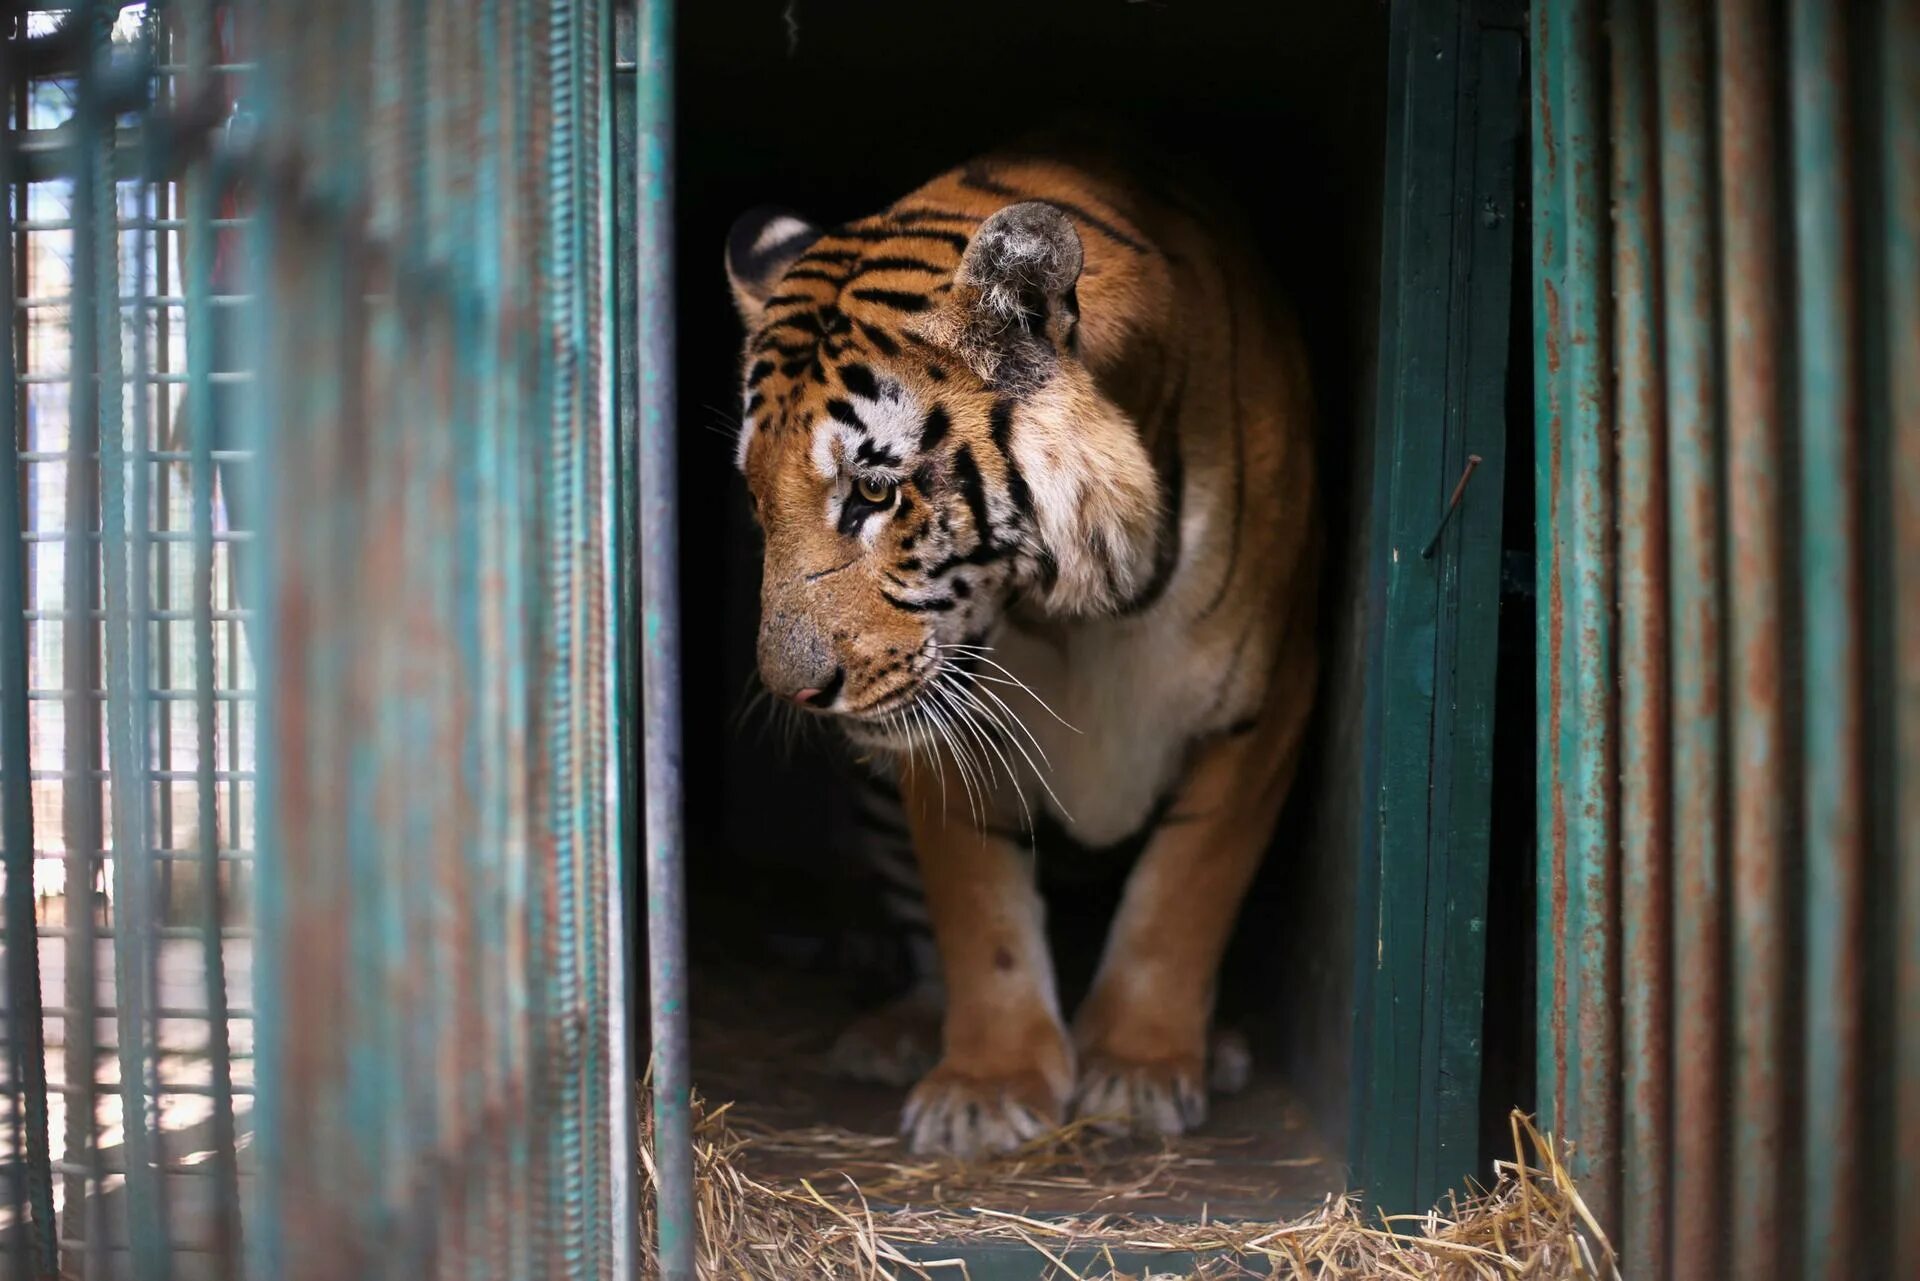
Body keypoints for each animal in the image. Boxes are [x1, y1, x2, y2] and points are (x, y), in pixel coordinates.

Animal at [721, 132, 1320, 1160]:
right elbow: (978, 912)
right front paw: (987, 1090)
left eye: (873, 493)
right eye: (759, 499)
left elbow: (1184, 889)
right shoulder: (938, 719)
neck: (1070, 613)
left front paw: (1139, 1069)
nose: (796, 690)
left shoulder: (1264, 698)